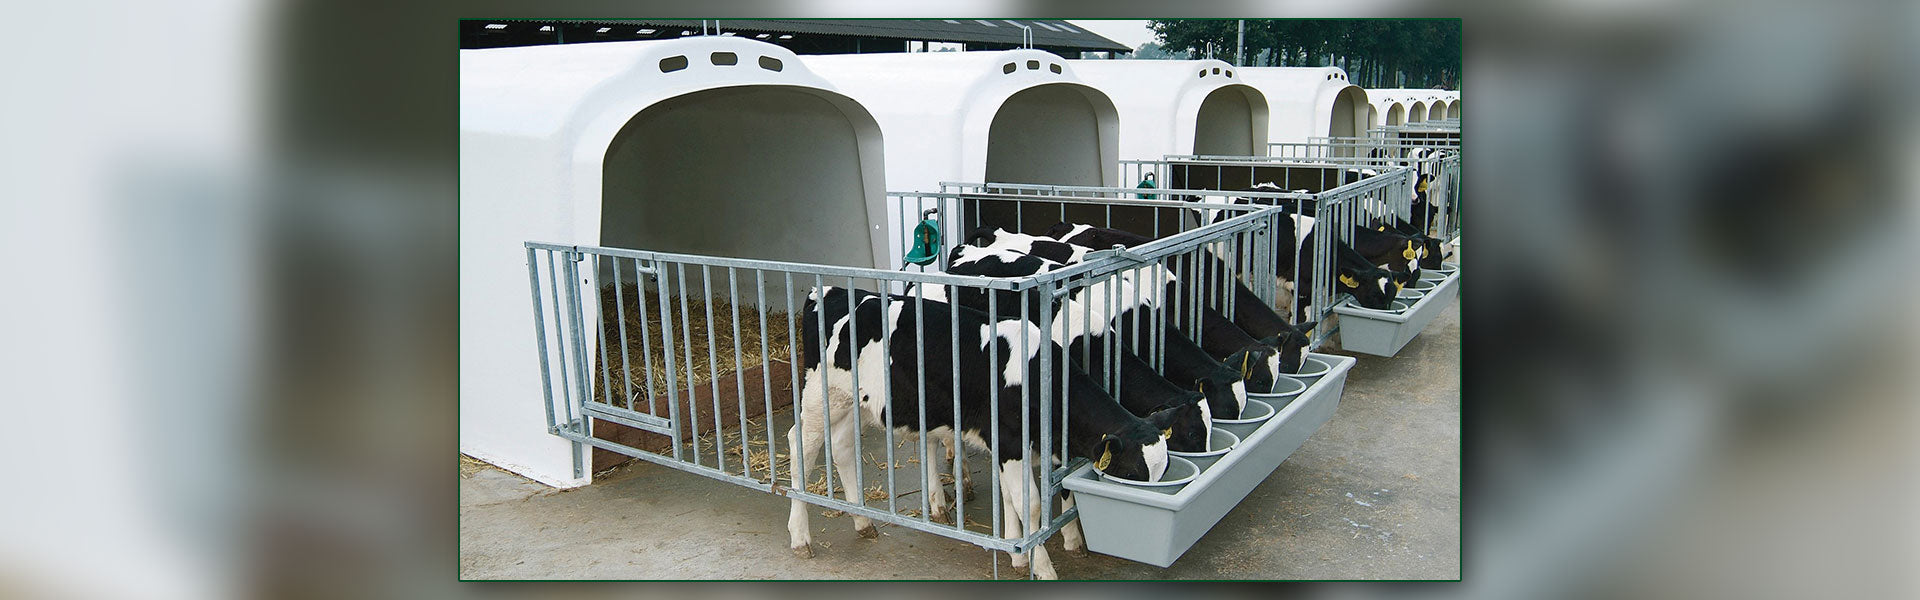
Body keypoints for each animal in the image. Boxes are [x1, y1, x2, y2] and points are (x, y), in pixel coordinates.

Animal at [783, 288, 1182, 580]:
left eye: (1160, 472)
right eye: (1130, 473)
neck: (1041, 377)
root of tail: (829, 292)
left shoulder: (1018, 447)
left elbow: (1023, 496)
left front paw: (1024, 552)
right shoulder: (1010, 442)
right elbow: (1032, 505)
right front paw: (1041, 566)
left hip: (853, 402)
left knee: (842, 446)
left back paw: (862, 521)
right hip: (820, 393)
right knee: (800, 446)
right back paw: (800, 537)